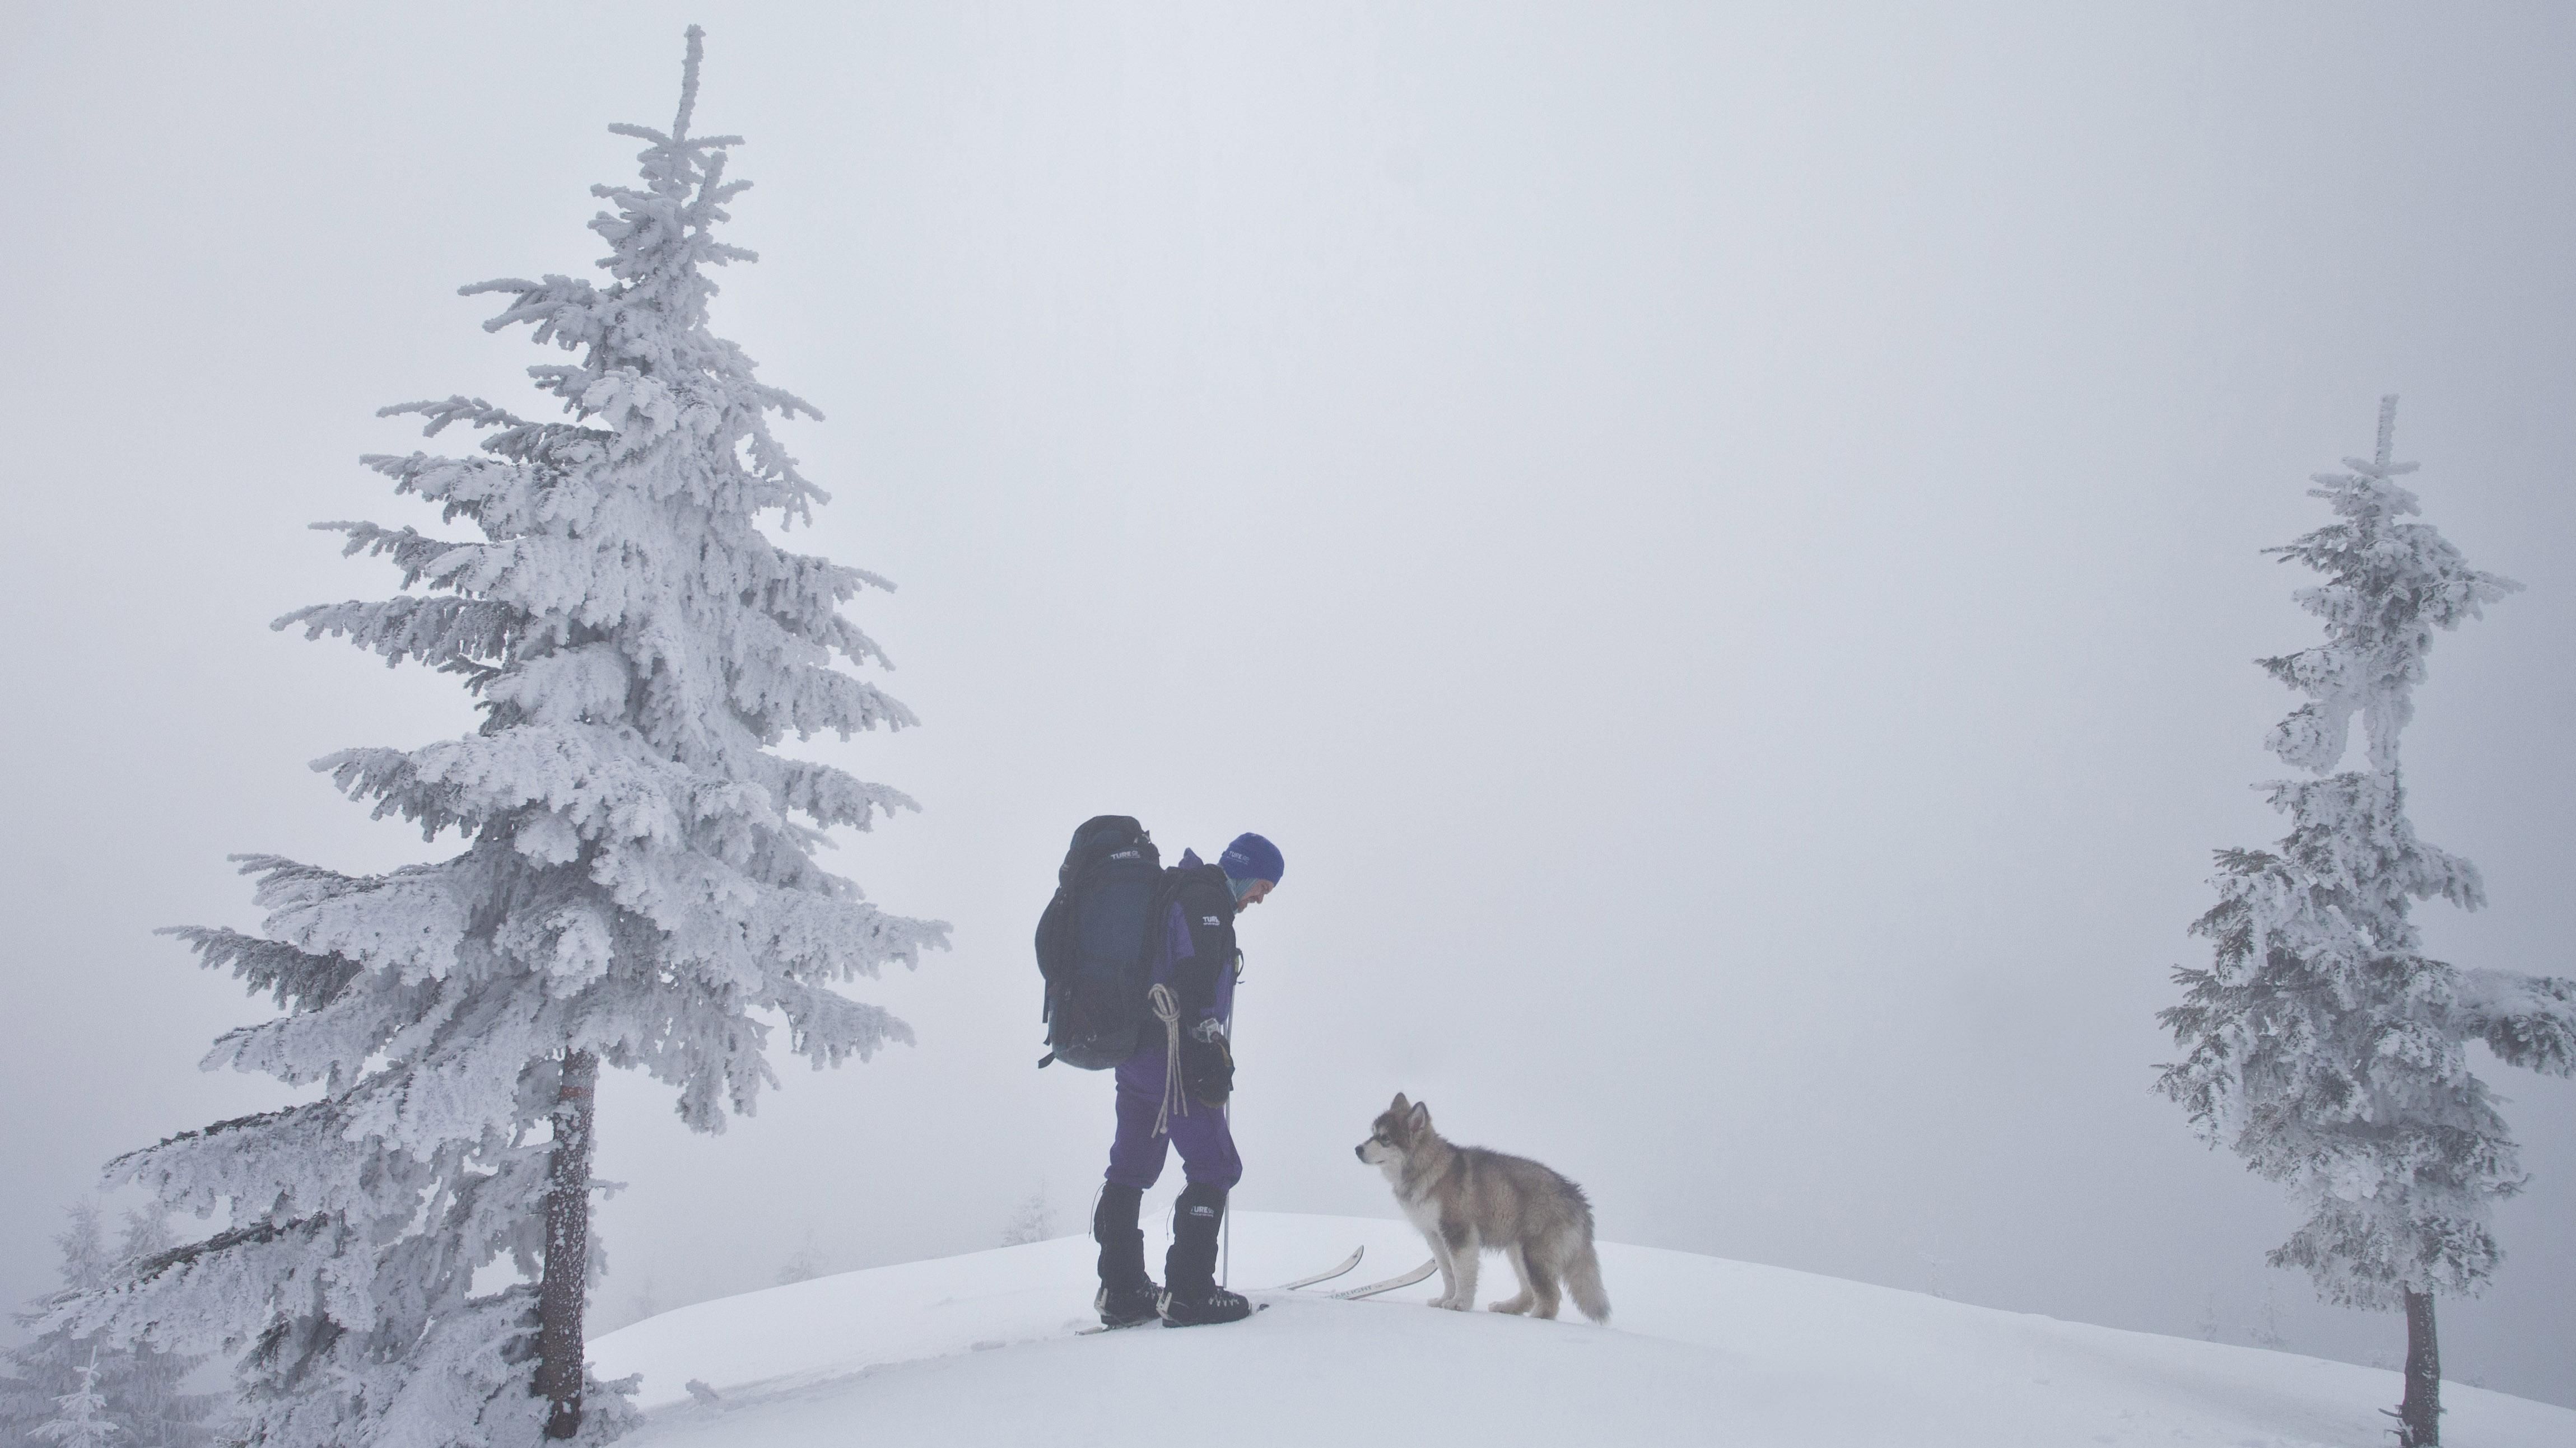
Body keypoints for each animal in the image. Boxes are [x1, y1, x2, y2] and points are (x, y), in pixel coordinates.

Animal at [1349, 1092, 1607, 1319]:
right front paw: (1444, 1300)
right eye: (1372, 1134)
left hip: (1535, 1255)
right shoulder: (1435, 1236)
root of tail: (1578, 1197)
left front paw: (1460, 1304)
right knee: (1529, 1292)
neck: (1428, 1168)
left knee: (1550, 1296)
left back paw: (1537, 1318)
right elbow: (1448, 1273)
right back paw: (1507, 1307)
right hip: (1517, 1250)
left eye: (1385, 1138)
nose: (1357, 1149)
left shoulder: (1459, 1234)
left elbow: (1462, 1273)